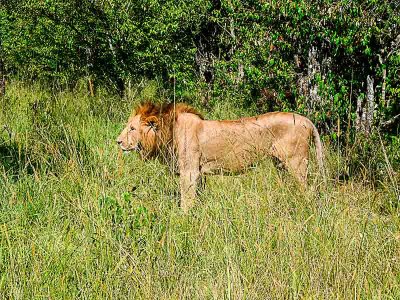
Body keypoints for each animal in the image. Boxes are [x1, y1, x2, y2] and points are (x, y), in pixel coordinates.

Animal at [117, 102, 324, 212]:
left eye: (132, 128)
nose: (117, 141)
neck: (169, 132)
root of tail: (307, 120)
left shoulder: (189, 172)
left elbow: (186, 199)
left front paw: (182, 219)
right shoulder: (198, 173)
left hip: (296, 163)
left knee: (308, 191)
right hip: (280, 164)